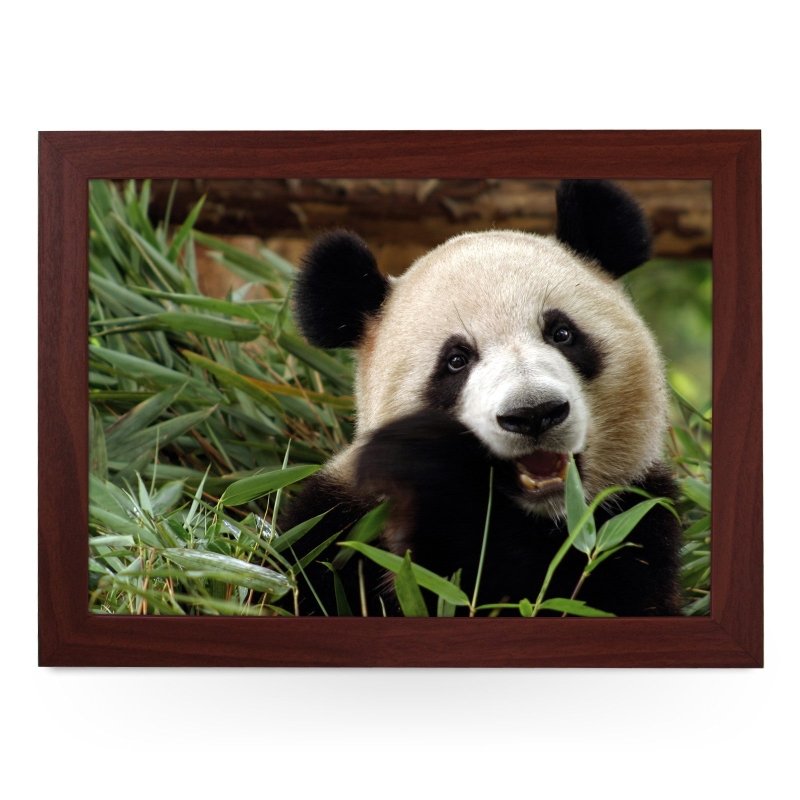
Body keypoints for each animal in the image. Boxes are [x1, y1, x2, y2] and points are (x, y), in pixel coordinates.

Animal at [283, 180, 682, 616]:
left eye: (562, 333)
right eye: (456, 360)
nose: (534, 413)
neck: (538, 517)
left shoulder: (632, 520)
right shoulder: (339, 524)